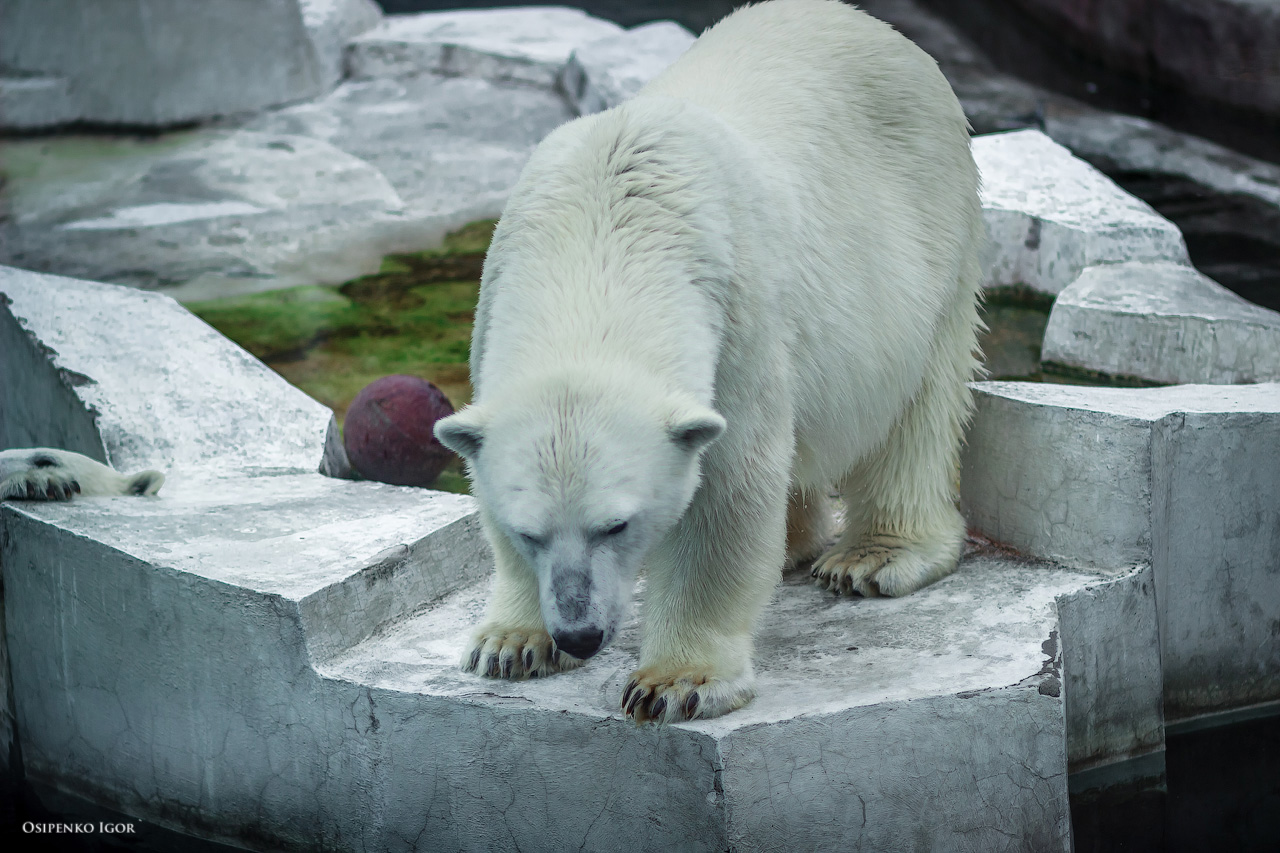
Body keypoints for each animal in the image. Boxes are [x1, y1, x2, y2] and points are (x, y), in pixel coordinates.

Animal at [435, 0, 983, 722]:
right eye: (530, 531)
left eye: (617, 524)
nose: (580, 634)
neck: (597, 231)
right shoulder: (495, 294)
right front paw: (512, 642)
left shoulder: (737, 318)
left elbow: (726, 491)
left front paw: (675, 682)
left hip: (931, 232)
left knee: (916, 403)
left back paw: (873, 556)